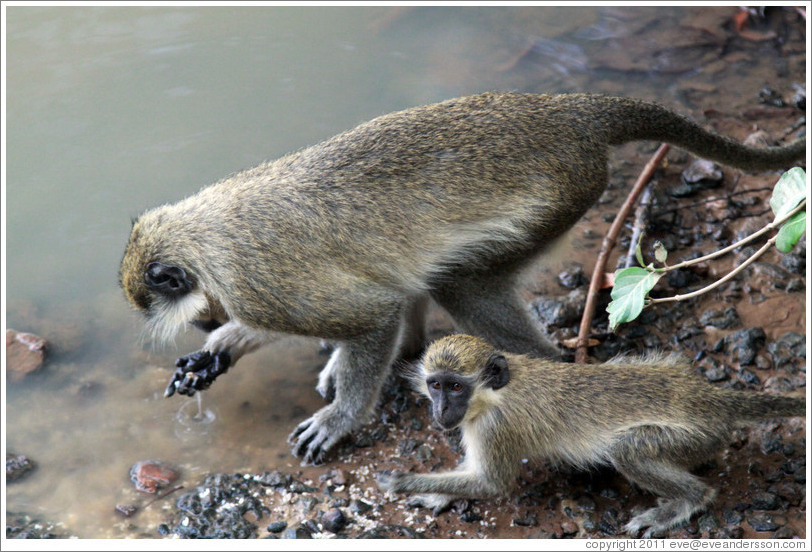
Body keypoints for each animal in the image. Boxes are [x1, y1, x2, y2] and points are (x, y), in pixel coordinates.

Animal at [119, 92, 804, 464]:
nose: (205, 323)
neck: (203, 237)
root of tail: (567, 113)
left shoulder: (260, 284)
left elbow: (371, 318)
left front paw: (343, 416)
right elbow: (374, 304)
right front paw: (216, 353)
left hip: (553, 200)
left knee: (462, 288)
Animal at [380, 334, 804, 536]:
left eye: (455, 387)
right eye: (435, 385)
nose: (440, 412)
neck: (496, 390)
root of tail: (709, 397)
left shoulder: (493, 427)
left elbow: (491, 484)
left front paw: (401, 480)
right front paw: (439, 493)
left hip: (695, 435)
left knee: (629, 449)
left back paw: (684, 502)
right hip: (677, 375)